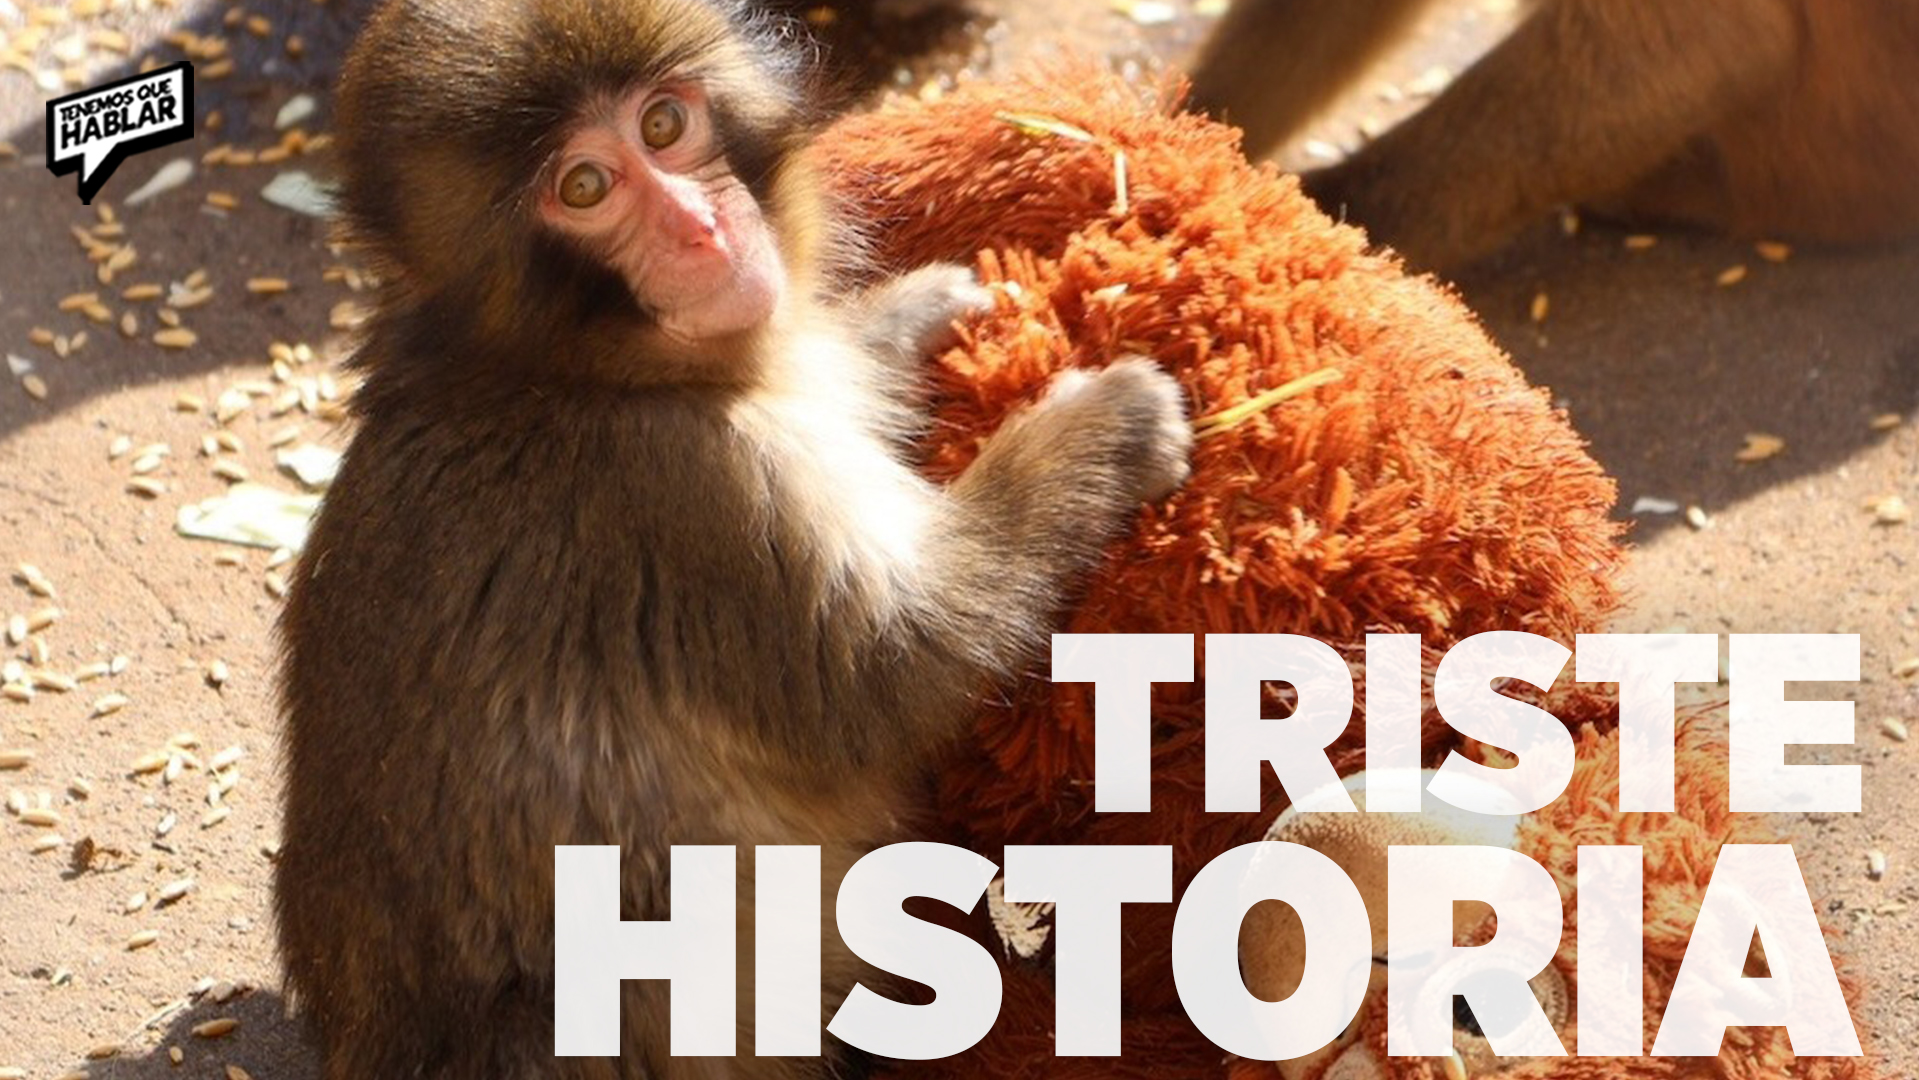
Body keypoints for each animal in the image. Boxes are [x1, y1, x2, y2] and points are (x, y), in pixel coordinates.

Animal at [271, 1, 1192, 1078]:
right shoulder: (689, 488)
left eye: (663, 125)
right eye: (583, 187)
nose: (700, 229)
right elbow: (894, 670)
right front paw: (1105, 426)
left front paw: (905, 318)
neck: (561, 369)